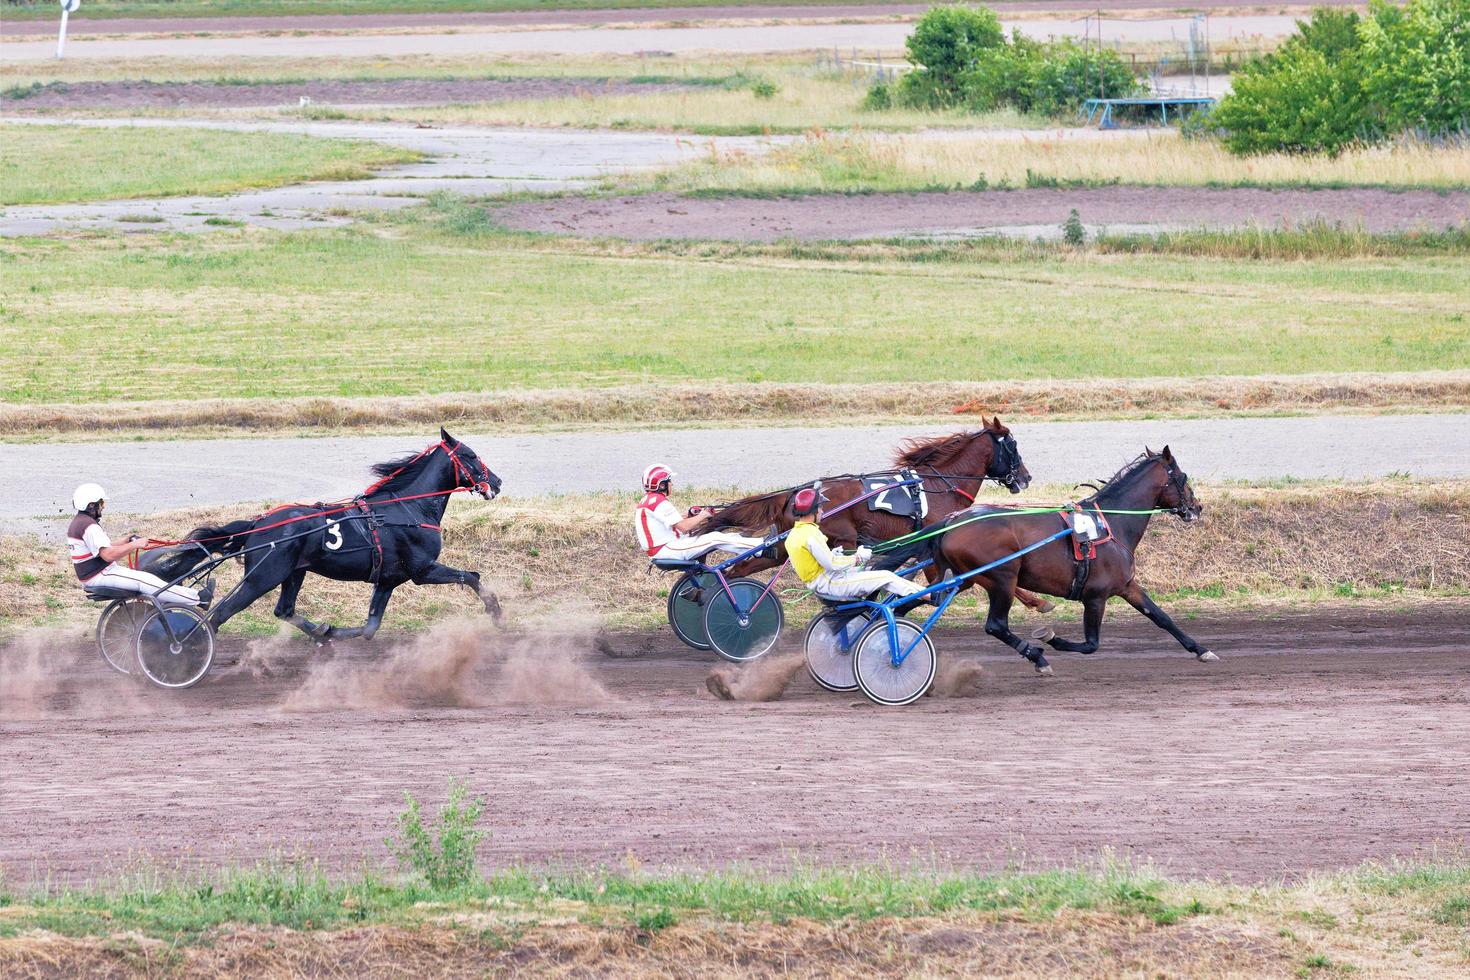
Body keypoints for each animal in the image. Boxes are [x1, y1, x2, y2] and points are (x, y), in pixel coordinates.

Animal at [147, 426, 505, 643]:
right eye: (471, 455)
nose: (498, 482)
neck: (408, 509)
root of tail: (258, 524)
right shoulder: (422, 570)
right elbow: (472, 577)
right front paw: (497, 614)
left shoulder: (388, 579)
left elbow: (370, 627)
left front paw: (330, 631)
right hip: (263, 576)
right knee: (220, 614)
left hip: (293, 573)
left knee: (284, 610)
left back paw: (318, 629)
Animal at [699, 417, 1058, 614]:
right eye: (1013, 446)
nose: (1025, 478)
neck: (938, 484)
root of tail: (793, 493)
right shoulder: (933, 544)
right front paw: (1037, 601)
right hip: (841, 539)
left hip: (781, 546)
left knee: (741, 567)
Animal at [893, 449, 1217, 675]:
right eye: (1183, 478)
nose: (1197, 508)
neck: (1111, 524)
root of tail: (953, 520)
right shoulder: (1096, 595)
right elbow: (1091, 644)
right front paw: (1052, 639)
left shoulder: (1127, 586)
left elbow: (1161, 617)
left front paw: (1201, 650)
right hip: (1002, 579)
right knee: (996, 625)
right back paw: (1037, 657)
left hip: (962, 578)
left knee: (907, 603)